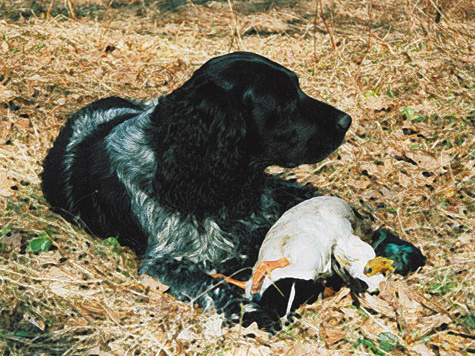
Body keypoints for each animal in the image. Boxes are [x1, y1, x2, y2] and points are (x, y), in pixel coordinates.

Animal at [41, 51, 352, 330]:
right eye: (285, 102)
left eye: (298, 87)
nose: (346, 121)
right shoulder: (163, 264)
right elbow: (214, 286)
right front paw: (256, 311)